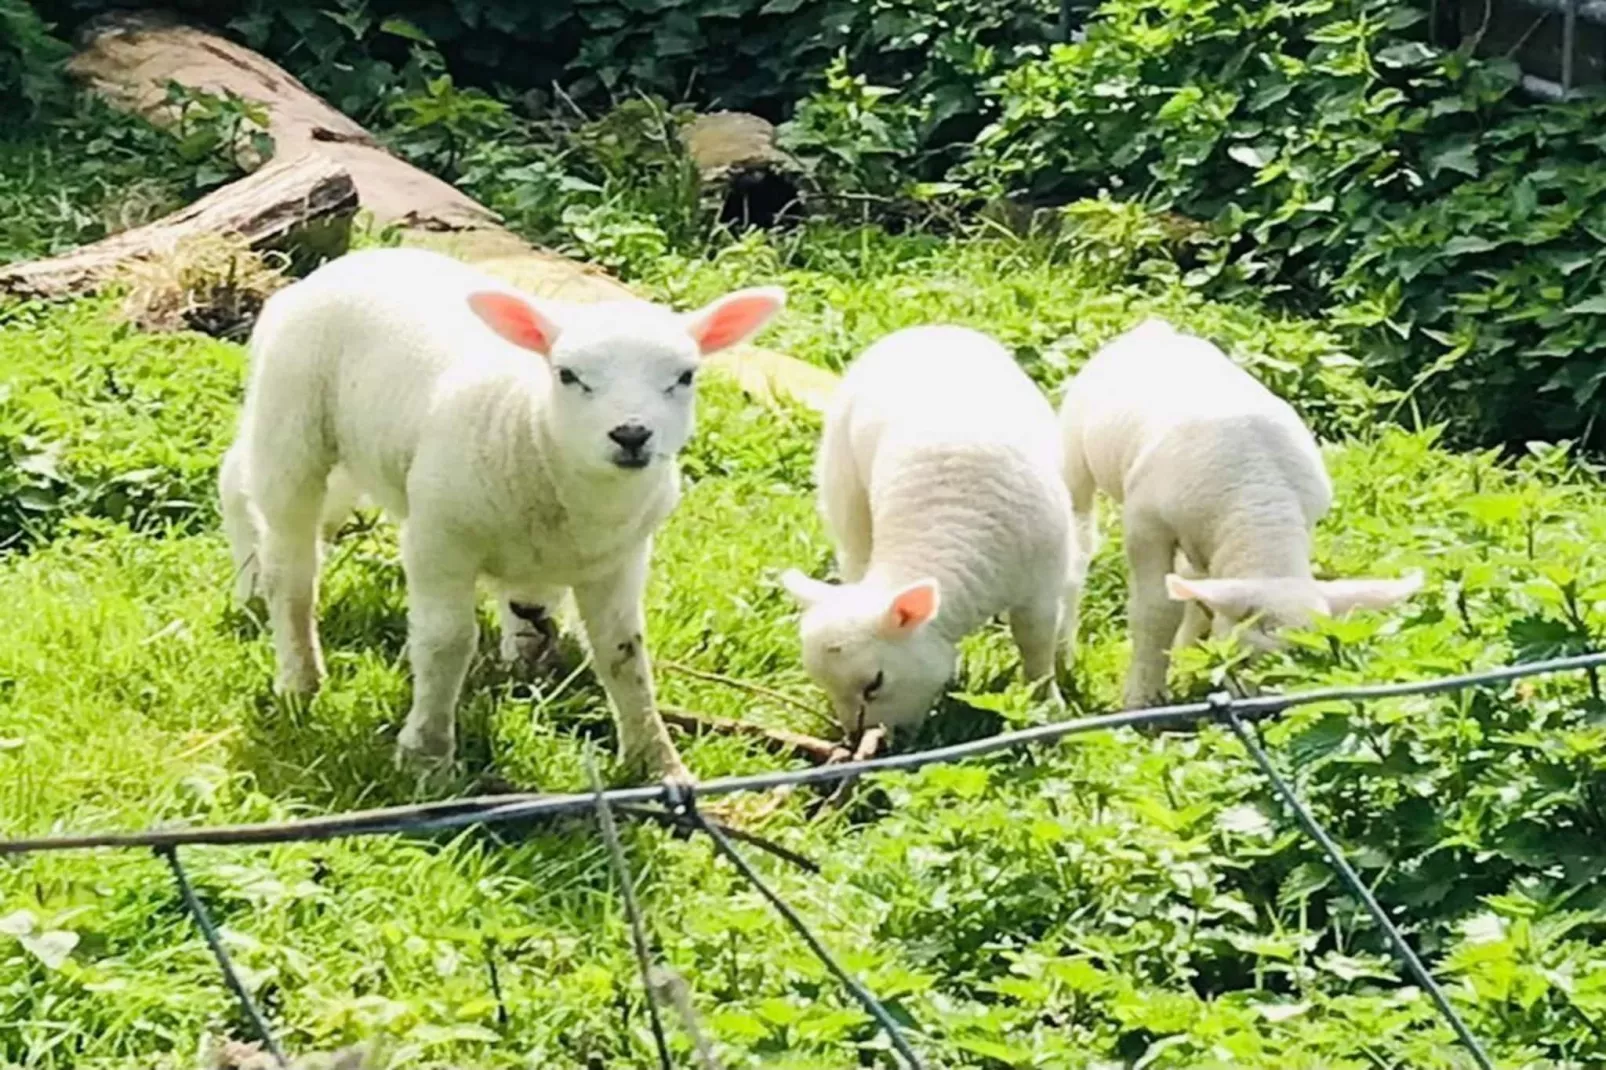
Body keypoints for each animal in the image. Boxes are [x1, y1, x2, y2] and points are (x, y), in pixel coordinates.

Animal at [218, 245, 783, 780]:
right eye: (568, 375)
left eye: (685, 377)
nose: (631, 434)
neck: (533, 428)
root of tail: (337, 268)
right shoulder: (438, 540)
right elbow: (446, 643)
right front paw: (426, 757)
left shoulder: (619, 558)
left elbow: (624, 653)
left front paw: (657, 762)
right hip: (293, 423)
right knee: (286, 557)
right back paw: (292, 661)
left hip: (359, 451)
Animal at [780, 324, 1079, 739]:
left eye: (875, 684)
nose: (861, 742)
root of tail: (925, 330)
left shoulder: (1041, 585)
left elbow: (1035, 642)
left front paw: (1047, 703)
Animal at [1059, 314, 1426, 706]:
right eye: (1248, 657)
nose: (1268, 711)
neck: (1259, 508)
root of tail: (1155, 329)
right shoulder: (1146, 525)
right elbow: (1156, 610)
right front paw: (1144, 697)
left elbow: (1195, 603)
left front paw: (1189, 665)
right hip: (1075, 453)